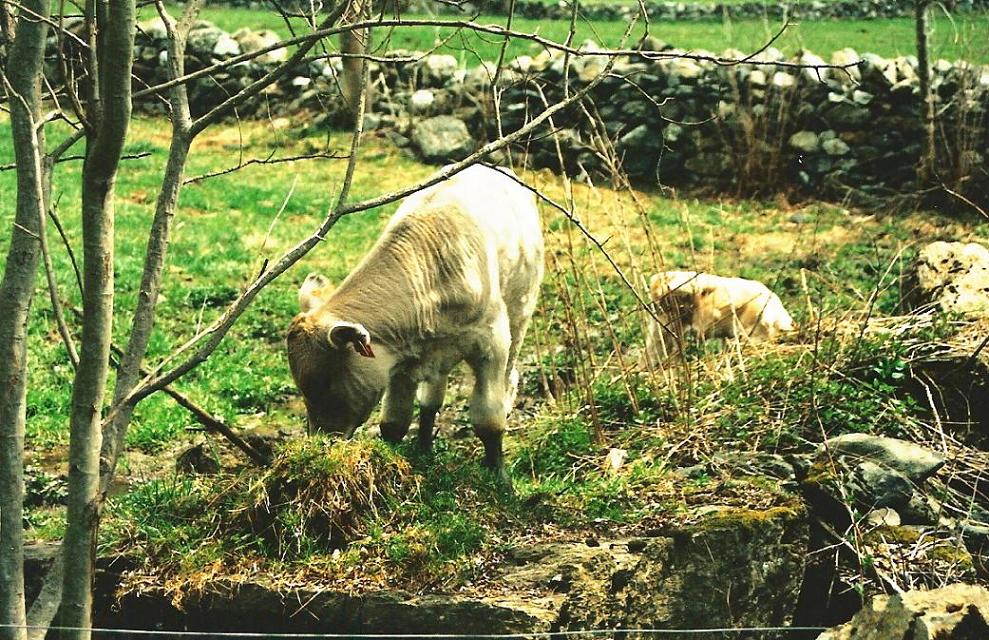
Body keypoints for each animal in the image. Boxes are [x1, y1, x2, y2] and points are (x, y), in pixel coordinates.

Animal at [286, 165, 544, 484]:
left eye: (325, 383)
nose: (321, 442)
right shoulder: (401, 362)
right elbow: (394, 422)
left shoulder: (491, 344)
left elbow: (488, 419)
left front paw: (500, 479)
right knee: (432, 399)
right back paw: (424, 446)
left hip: (519, 316)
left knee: (509, 377)